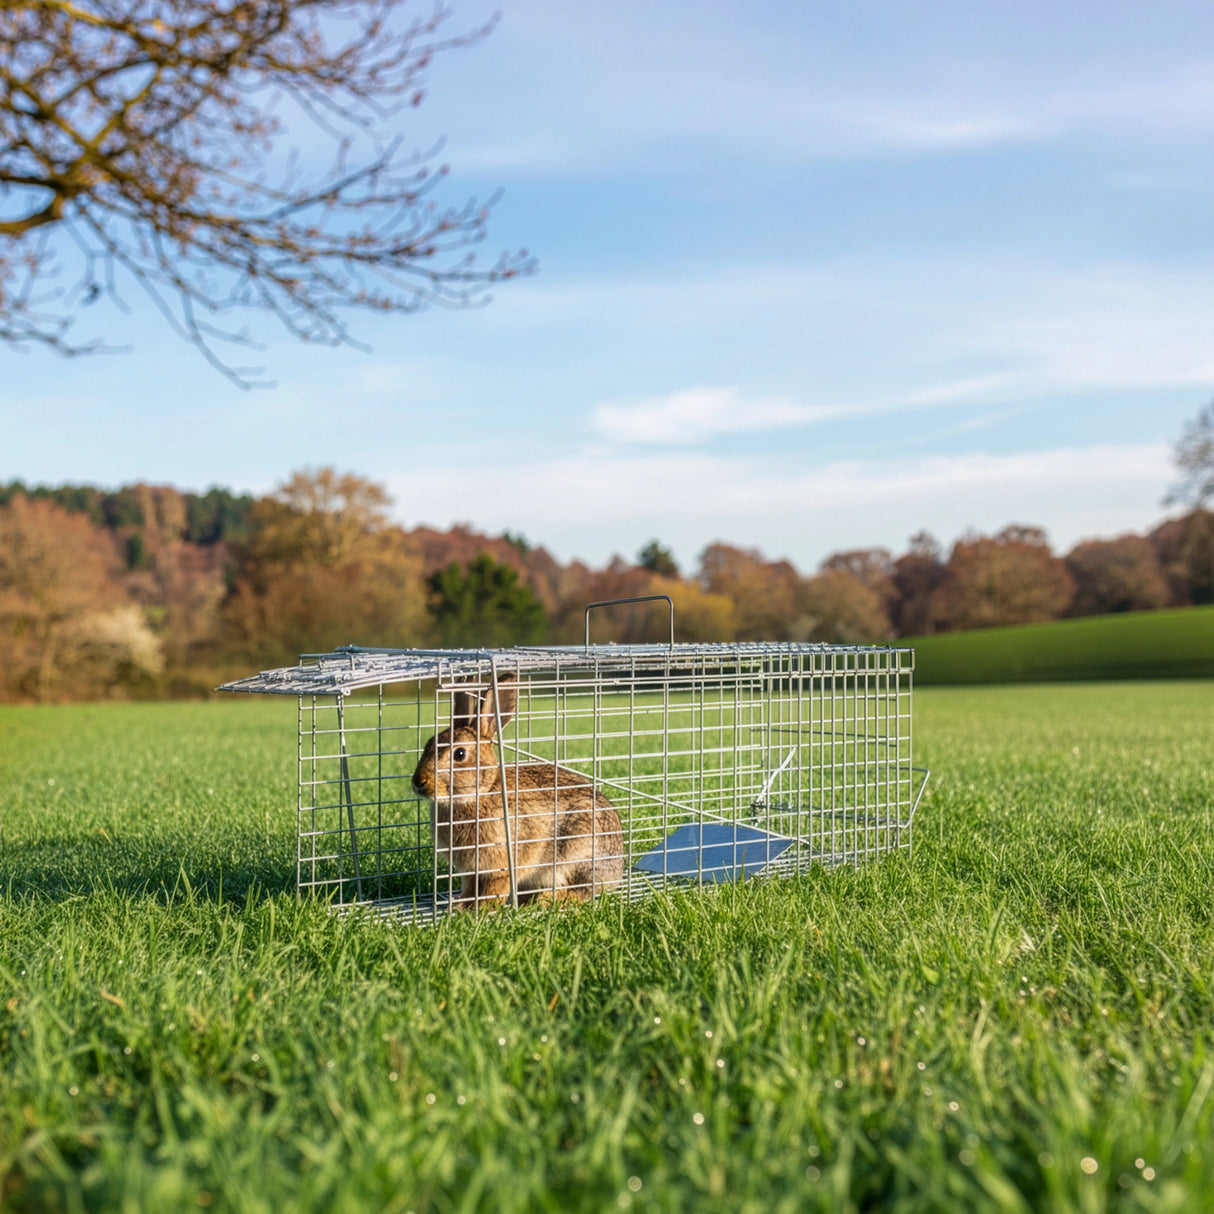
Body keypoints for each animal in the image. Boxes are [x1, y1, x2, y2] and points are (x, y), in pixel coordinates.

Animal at [411, 674, 624, 910]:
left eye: (459, 754)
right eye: (428, 744)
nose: (418, 782)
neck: (478, 794)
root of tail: (617, 871)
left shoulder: (501, 863)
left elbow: (494, 890)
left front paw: (481, 910)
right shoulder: (471, 870)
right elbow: (469, 889)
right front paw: (459, 907)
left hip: (575, 853)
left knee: (579, 891)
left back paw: (545, 900)